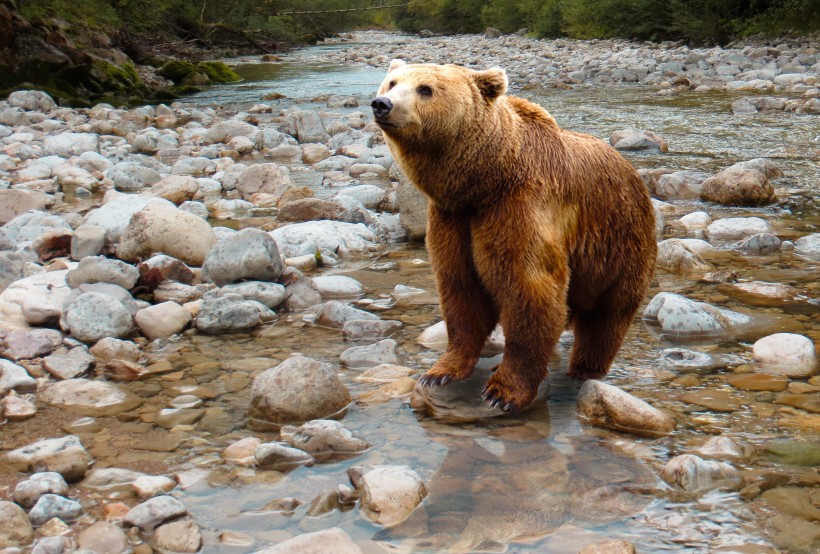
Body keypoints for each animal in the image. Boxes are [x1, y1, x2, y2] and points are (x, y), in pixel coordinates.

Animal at [374, 60, 656, 412]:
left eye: (425, 89)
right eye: (391, 82)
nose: (382, 104)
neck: (484, 180)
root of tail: (633, 172)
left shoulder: (519, 206)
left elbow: (529, 290)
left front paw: (502, 391)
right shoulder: (453, 219)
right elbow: (460, 290)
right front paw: (440, 372)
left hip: (619, 243)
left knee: (606, 317)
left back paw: (584, 368)